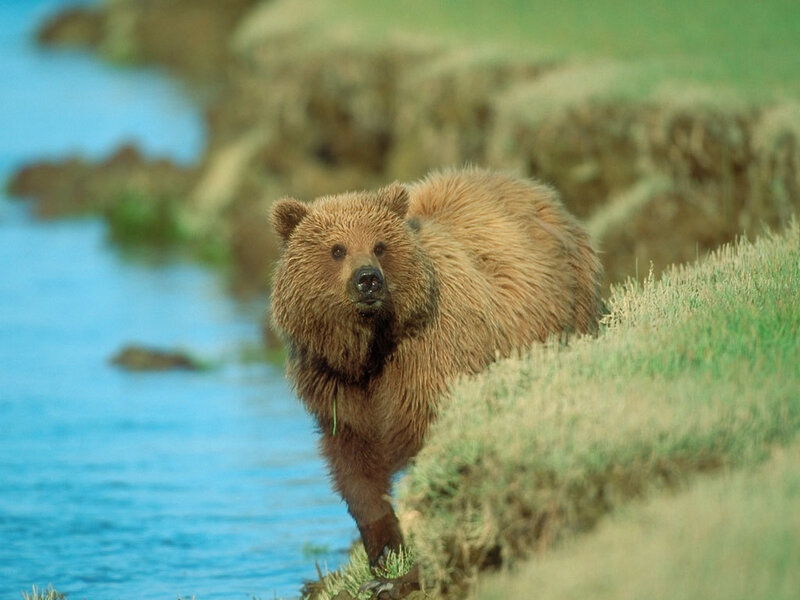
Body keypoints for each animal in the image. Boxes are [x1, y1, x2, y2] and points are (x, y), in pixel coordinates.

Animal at [269, 167, 603, 595]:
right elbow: (355, 472)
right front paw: (385, 552)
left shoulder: (430, 363)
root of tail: (541, 192)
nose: (367, 280)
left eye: (379, 246)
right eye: (337, 249)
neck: (371, 350)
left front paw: (401, 577)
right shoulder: (338, 389)